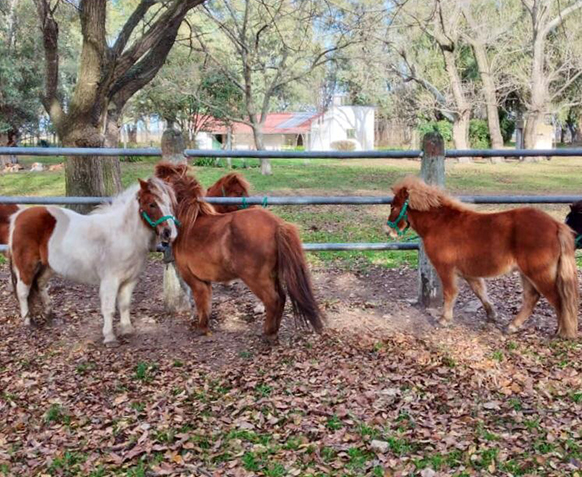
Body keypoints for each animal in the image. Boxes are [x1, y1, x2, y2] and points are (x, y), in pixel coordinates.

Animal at [8, 177, 178, 344]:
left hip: (48, 266)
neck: (123, 234)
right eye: (152, 204)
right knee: (23, 291)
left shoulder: (130, 280)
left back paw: (50, 315)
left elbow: (124, 305)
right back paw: (28, 321)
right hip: (26, 266)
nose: (169, 233)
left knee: (40, 284)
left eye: (169, 204)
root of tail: (19, 215)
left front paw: (127, 329)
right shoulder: (110, 280)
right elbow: (109, 308)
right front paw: (109, 337)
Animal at [154, 162, 324, 340]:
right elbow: (206, 301)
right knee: (282, 298)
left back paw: (268, 334)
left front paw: (202, 327)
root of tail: (278, 225)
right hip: (274, 274)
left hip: (256, 278)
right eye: (238, 194)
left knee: (273, 300)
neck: (190, 223)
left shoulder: (193, 277)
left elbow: (201, 301)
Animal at [386, 176, 580, 338]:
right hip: (526, 273)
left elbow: (450, 292)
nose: (388, 231)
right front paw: (491, 315)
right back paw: (513, 326)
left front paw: (444, 319)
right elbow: (480, 292)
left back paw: (562, 332)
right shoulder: (468, 273)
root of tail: (556, 225)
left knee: (558, 299)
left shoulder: (445, 268)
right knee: (532, 298)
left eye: (393, 206)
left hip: (538, 272)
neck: (439, 224)